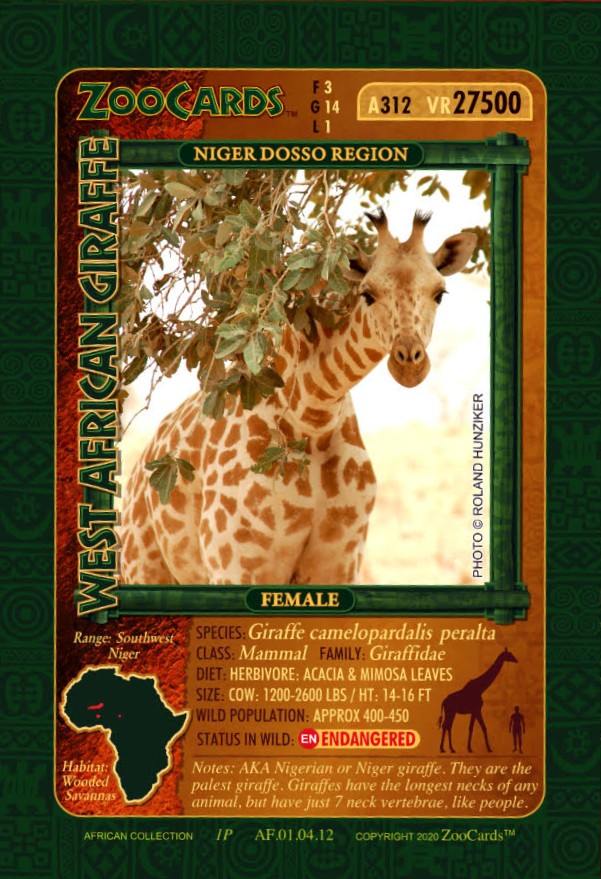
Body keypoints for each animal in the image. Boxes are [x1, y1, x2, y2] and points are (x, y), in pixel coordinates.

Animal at [120, 208, 477, 586]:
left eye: (439, 293)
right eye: (367, 293)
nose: (409, 363)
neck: (313, 414)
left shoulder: (341, 562)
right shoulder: (235, 564)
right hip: (143, 567)